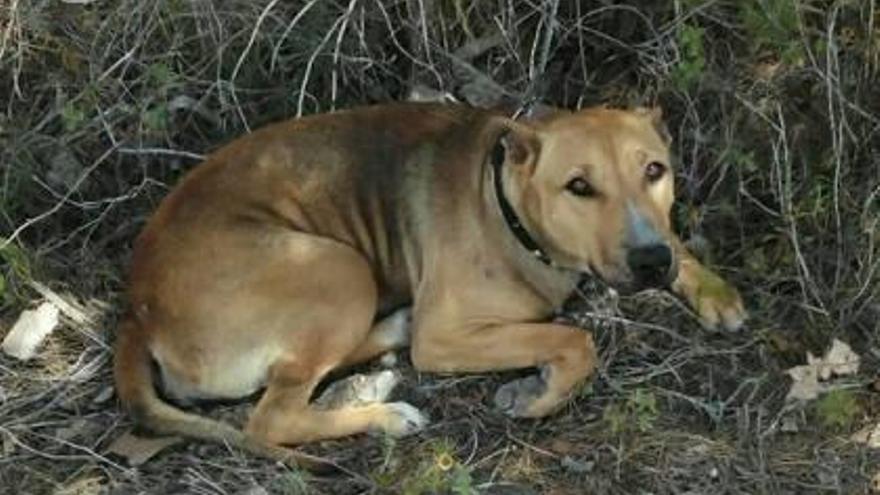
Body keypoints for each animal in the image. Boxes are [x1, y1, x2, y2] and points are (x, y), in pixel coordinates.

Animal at [110, 102, 744, 466]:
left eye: (655, 171)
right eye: (579, 187)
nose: (650, 261)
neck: (505, 208)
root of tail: (136, 309)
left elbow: (675, 241)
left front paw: (713, 291)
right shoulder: (446, 338)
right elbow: (573, 339)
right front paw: (538, 395)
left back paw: (391, 335)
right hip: (337, 267)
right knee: (272, 417)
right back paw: (388, 415)